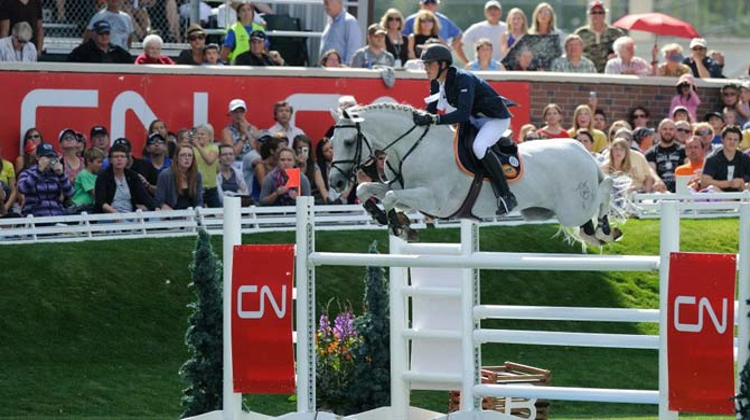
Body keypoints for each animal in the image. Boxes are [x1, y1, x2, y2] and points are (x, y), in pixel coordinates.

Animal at [332, 102, 620, 246]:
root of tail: (582, 150)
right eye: (332, 141)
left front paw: (400, 227)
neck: (414, 146)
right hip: (552, 212)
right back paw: (596, 234)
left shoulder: (434, 200)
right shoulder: (408, 193)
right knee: (589, 219)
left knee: (606, 187)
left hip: (573, 208)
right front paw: (386, 218)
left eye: (348, 141)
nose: (336, 182)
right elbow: (370, 190)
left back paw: (607, 229)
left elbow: (390, 196)